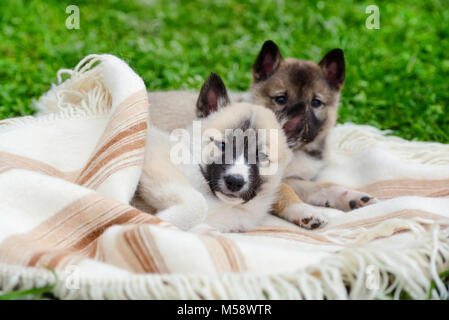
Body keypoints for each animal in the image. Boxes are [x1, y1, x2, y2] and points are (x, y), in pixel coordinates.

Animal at [138, 73, 292, 231]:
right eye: (222, 145)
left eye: (261, 156)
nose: (234, 182)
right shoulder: (157, 156)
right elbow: (198, 203)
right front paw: (159, 222)